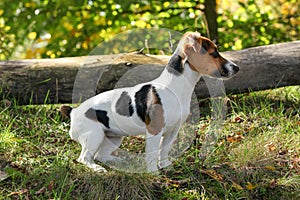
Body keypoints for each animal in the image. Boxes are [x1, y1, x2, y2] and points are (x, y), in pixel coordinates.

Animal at [60, 31, 239, 172]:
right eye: (214, 53)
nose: (237, 68)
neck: (175, 87)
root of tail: (73, 111)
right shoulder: (154, 131)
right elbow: (153, 154)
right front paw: (154, 172)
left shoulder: (173, 130)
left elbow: (164, 150)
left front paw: (165, 165)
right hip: (94, 135)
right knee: (85, 158)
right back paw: (97, 168)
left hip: (114, 137)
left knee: (101, 155)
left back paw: (121, 162)